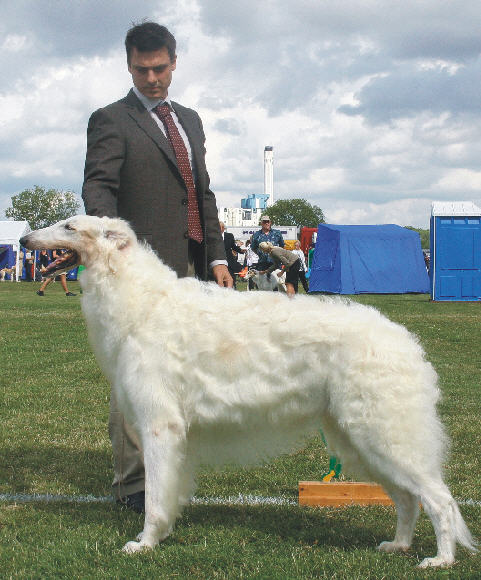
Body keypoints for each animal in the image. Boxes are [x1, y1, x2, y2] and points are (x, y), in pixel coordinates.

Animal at [19, 215, 476, 564]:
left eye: (69, 226)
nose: (24, 240)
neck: (143, 302)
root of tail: (404, 339)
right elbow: (166, 495)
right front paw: (161, 536)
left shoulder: (160, 426)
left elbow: (154, 500)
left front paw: (145, 543)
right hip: (361, 441)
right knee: (408, 500)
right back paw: (398, 545)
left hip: (383, 435)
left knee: (439, 499)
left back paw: (441, 559)